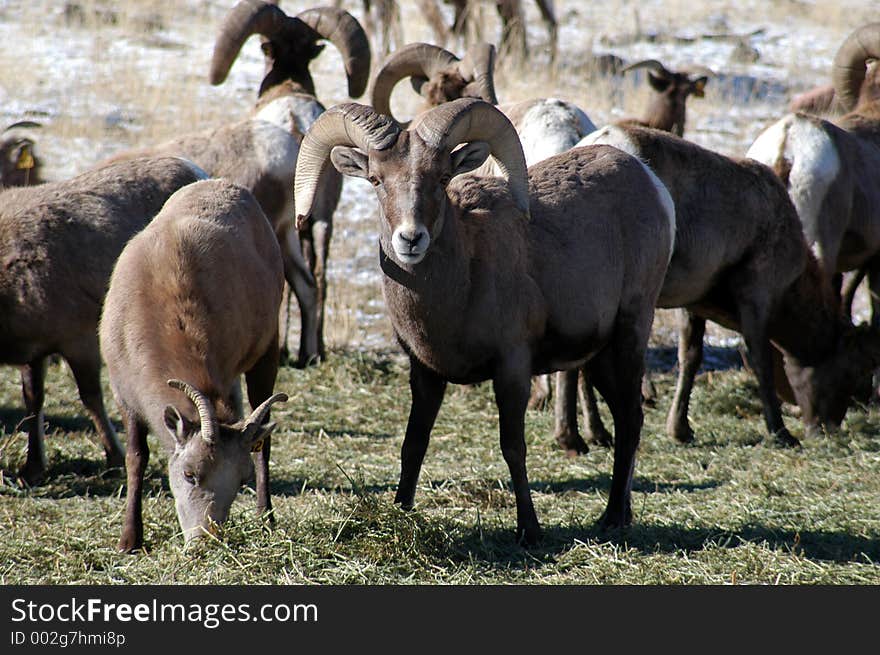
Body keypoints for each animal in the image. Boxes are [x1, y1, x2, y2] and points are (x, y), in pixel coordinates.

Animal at [0, 156, 208, 484]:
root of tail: (195, 172)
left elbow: (91, 398)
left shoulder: (79, 341)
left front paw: (115, 457)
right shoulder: (34, 353)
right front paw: (32, 469)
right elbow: (33, 401)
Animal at [100, 177, 288, 552]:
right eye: (189, 474)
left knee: (264, 443)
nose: (204, 542)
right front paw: (130, 540)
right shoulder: (123, 395)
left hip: (266, 354)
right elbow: (136, 457)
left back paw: (267, 519)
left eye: (239, 479)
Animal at [294, 97, 672, 544]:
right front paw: (401, 512)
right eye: (375, 179)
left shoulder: (512, 369)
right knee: (626, 417)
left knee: (630, 420)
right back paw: (622, 514)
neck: (463, 280)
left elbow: (513, 447)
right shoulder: (424, 373)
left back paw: (612, 517)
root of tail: (651, 184)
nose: (411, 239)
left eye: (441, 178)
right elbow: (413, 444)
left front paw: (529, 530)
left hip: (630, 332)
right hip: (597, 355)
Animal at [556, 121, 880, 452]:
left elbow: (690, 358)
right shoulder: (756, 294)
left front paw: (680, 430)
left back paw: (590, 435)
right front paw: (780, 433)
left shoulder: (693, 300)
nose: (828, 427)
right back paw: (577, 438)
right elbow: (760, 360)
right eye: (857, 369)